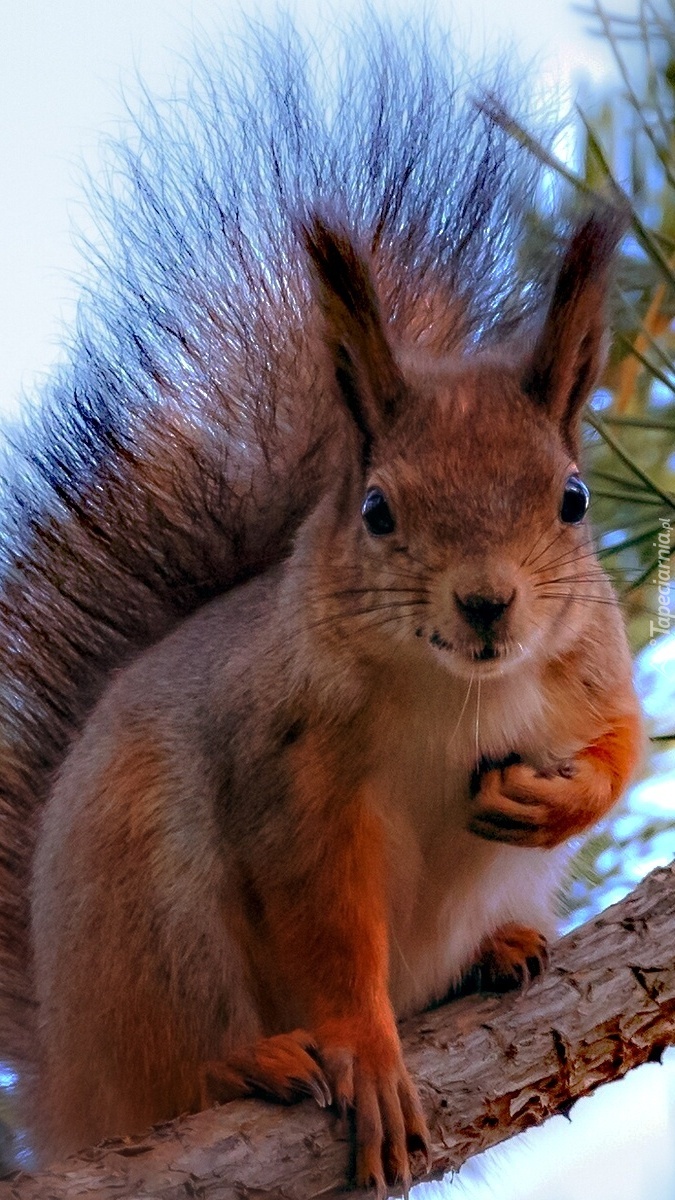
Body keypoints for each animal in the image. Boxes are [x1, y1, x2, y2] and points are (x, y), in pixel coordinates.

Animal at [0, 18, 638, 1190]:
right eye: (378, 508)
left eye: (571, 499)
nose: (487, 604)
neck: (458, 689)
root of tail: (67, 1087)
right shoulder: (295, 781)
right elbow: (330, 930)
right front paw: (368, 1053)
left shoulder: (590, 667)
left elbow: (623, 746)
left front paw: (558, 797)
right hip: (147, 897)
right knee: (178, 1068)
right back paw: (248, 1061)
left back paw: (501, 950)